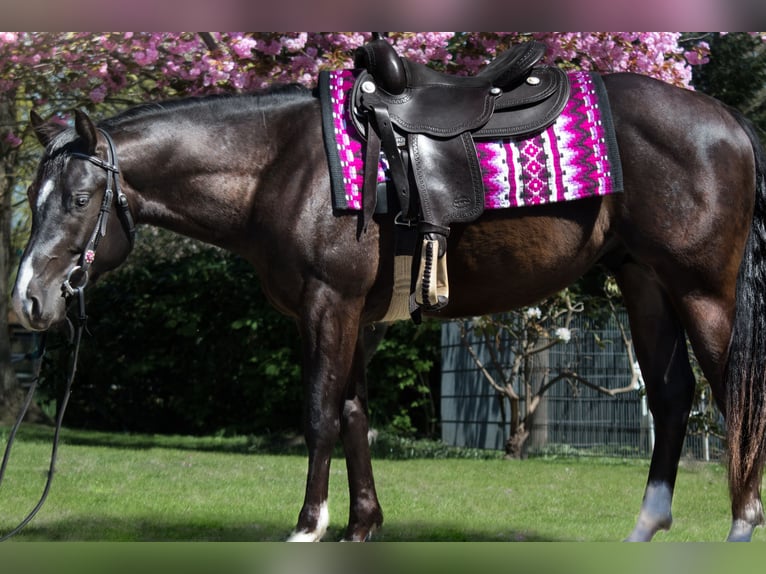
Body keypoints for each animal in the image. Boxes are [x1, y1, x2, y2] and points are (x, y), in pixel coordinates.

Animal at [12, 65, 766, 544]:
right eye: (31, 198)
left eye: (78, 199)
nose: (28, 300)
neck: (281, 167)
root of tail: (727, 120)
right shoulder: (349, 317)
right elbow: (354, 415)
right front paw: (361, 525)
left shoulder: (331, 304)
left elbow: (320, 415)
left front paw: (309, 527)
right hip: (645, 282)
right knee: (672, 395)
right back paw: (647, 527)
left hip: (702, 290)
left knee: (732, 390)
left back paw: (740, 523)